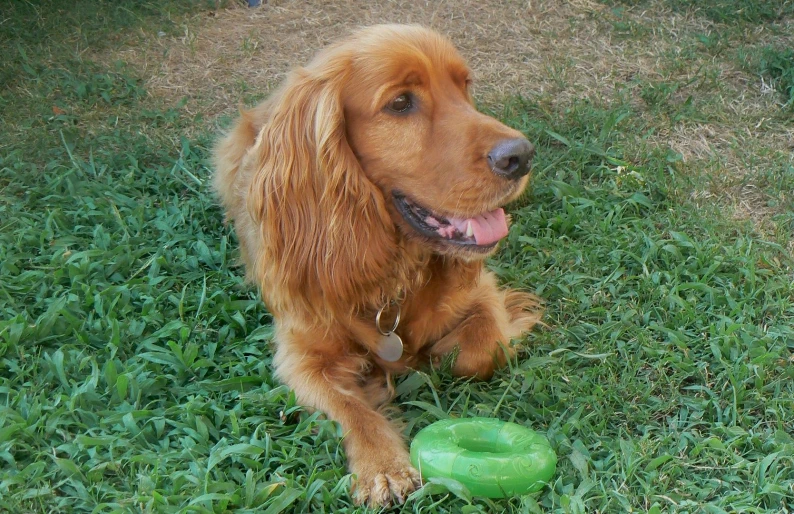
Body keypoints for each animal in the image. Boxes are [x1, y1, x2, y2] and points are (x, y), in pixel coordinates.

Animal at [213, 24, 540, 504]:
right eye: (400, 103)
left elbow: (480, 349)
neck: (393, 270)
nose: (521, 155)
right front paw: (383, 467)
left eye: (465, 86)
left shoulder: (481, 291)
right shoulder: (299, 354)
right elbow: (352, 410)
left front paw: (436, 354)